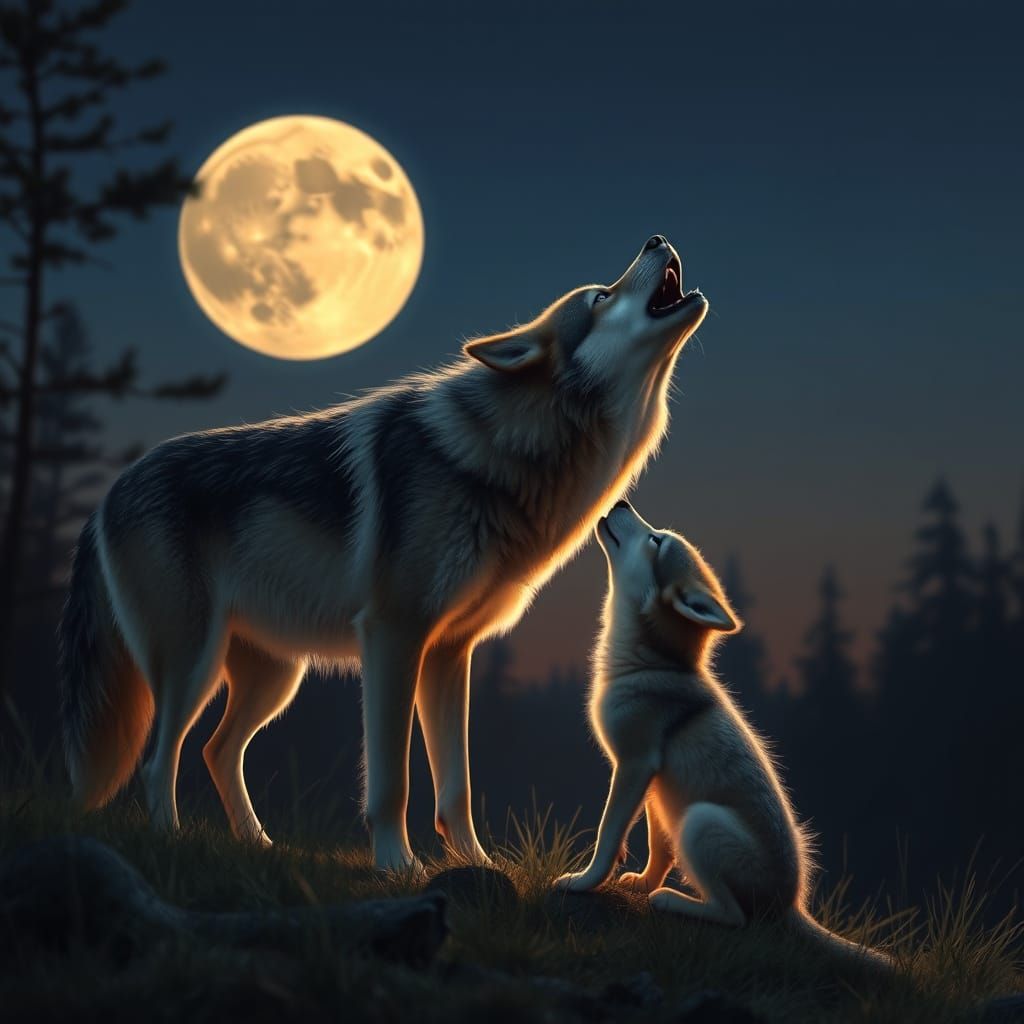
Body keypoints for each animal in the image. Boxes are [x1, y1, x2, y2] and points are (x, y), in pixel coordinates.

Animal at [59, 235, 708, 872]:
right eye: (601, 296)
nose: (656, 237)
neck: (512, 448)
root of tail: (109, 492)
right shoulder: (394, 635)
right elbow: (393, 780)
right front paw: (398, 865)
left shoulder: (450, 652)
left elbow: (456, 786)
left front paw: (477, 863)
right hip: (193, 662)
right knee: (158, 761)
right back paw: (171, 840)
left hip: (275, 677)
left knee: (216, 750)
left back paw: (258, 845)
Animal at [555, 501, 890, 970]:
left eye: (656, 539)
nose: (621, 502)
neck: (646, 664)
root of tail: (790, 905)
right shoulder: (655, 786)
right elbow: (658, 850)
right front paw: (639, 884)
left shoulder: (634, 766)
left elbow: (607, 838)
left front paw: (583, 882)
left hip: (700, 821)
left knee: (735, 918)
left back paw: (671, 901)